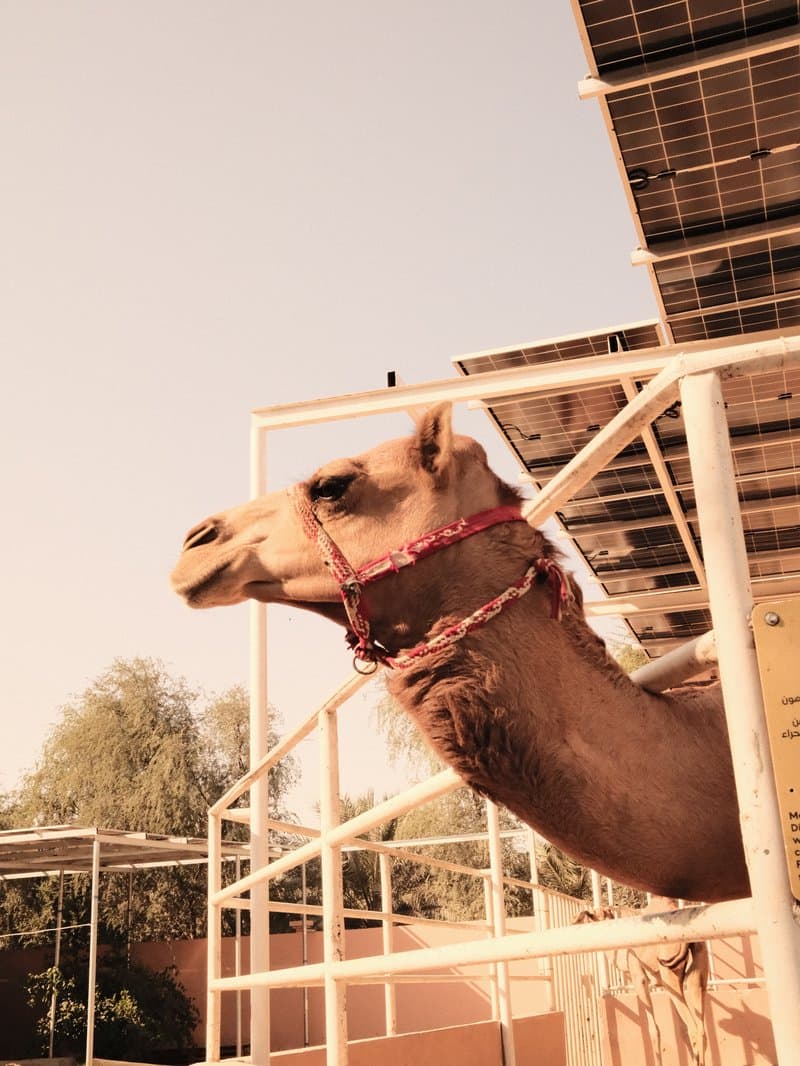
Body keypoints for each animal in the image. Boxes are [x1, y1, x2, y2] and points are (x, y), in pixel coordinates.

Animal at [574, 898, 709, 1066]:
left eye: (591, 916)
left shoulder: (639, 978)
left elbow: (654, 1030)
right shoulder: (664, 987)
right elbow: (681, 1029)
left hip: (669, 973)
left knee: (694, 1029)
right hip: (696, 973)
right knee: (701, 1029)